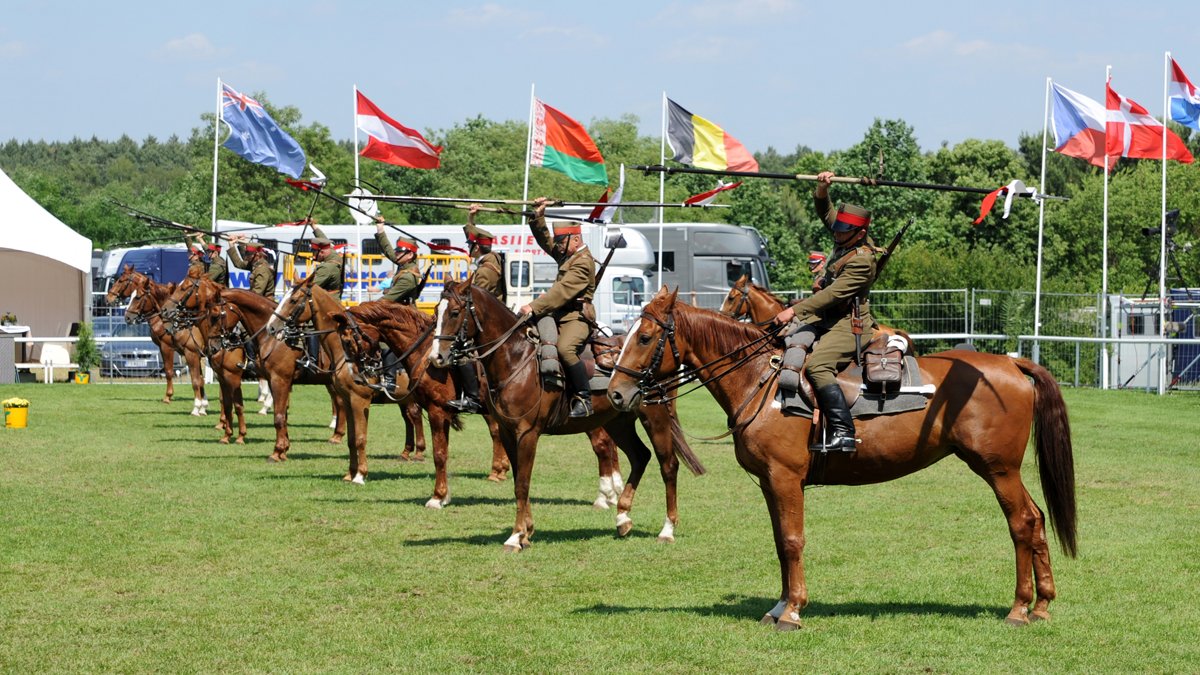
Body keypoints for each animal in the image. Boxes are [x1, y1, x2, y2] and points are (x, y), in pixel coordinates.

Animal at [427, 277, 700, 547]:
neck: (516, 359)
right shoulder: (507, 432)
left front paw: (516, 536)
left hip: (655, 418)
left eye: (454, 312)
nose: (436, 357)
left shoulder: (527, 434)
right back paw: (622, 517)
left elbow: (522, 484)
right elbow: (518, 480)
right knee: (640, 456)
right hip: (618, 423)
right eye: (435, 313)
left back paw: (667, 529)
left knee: (668, 465)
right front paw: (527, 531)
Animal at [609, 288, 1080, 624]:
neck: (762, 381)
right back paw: (1042, 604)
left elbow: (794, 541)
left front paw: (793, 611)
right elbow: (781, 542)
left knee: (1022, 523)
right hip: (1004, 471)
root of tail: (1013, 364)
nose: (615, 393)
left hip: (998, 470)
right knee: (1037, 519)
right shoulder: (770, 483)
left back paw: (1019, 608)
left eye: (645, 337)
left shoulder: (785, 478)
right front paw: (780, 606)